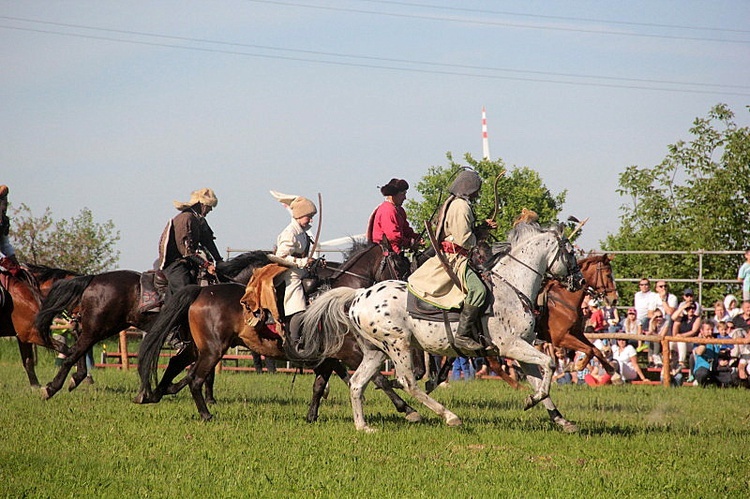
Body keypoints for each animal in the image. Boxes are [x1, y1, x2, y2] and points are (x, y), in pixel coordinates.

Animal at [132, 242, 420, 422]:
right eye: (400, 264)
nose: (409, 293)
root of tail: (202, 291)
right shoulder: (349, 353)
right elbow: (378, 379)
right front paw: (408, 409)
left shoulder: (330, 358)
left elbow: (320, 385)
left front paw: (311, 416)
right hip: (213, 349)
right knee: (195, 378)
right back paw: (205, 414)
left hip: (198, 347)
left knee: (176, 362)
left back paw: (153, 393)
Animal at [296, 223, 584, 434]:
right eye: (570, 252)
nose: (579, 281)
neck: (512, 286)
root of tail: (358, 296)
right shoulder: (511, 346)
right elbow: (549, 365)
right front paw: (531, 401)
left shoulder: (522, 348)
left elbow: (540, 378)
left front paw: (560, 419)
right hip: (398, 346)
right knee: (407, 382)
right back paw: (448, 416)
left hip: (375, 352)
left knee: (357, 383)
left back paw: (363, 426)